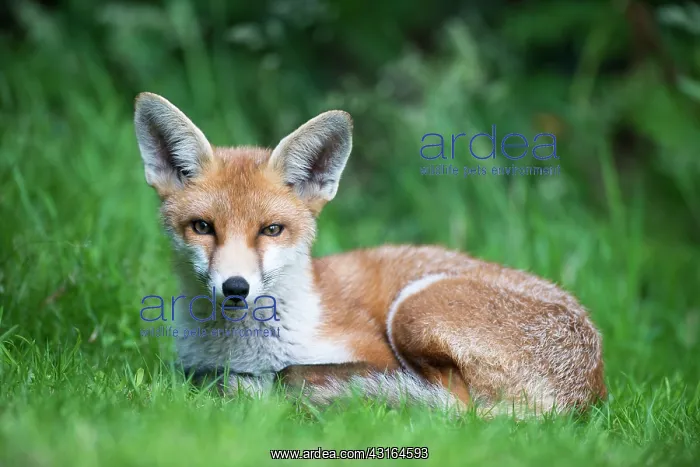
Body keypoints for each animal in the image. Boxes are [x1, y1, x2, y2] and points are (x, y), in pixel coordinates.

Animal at [134, 92, 607, 417]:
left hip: (414, 309)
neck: (241, 352)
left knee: (454, 405)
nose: (235, 287)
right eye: (203, 227)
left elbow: (297, 376)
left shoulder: (375, 354)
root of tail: (591, 388)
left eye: (271, 230)